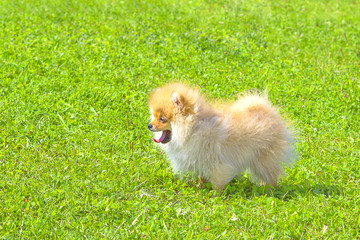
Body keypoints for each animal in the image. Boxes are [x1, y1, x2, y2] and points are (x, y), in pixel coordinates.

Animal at [148, 83, 294, 192]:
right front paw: (200, 187)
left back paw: (268, 190)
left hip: (263, 158)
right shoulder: (199, 158)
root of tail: (270, 113)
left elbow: (217, 182)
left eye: (162, 119)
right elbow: (202, 177)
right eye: (154, 116)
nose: (149, 125)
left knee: (271, 175)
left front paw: (215, 195)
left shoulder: (216, 162)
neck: (194, 128)